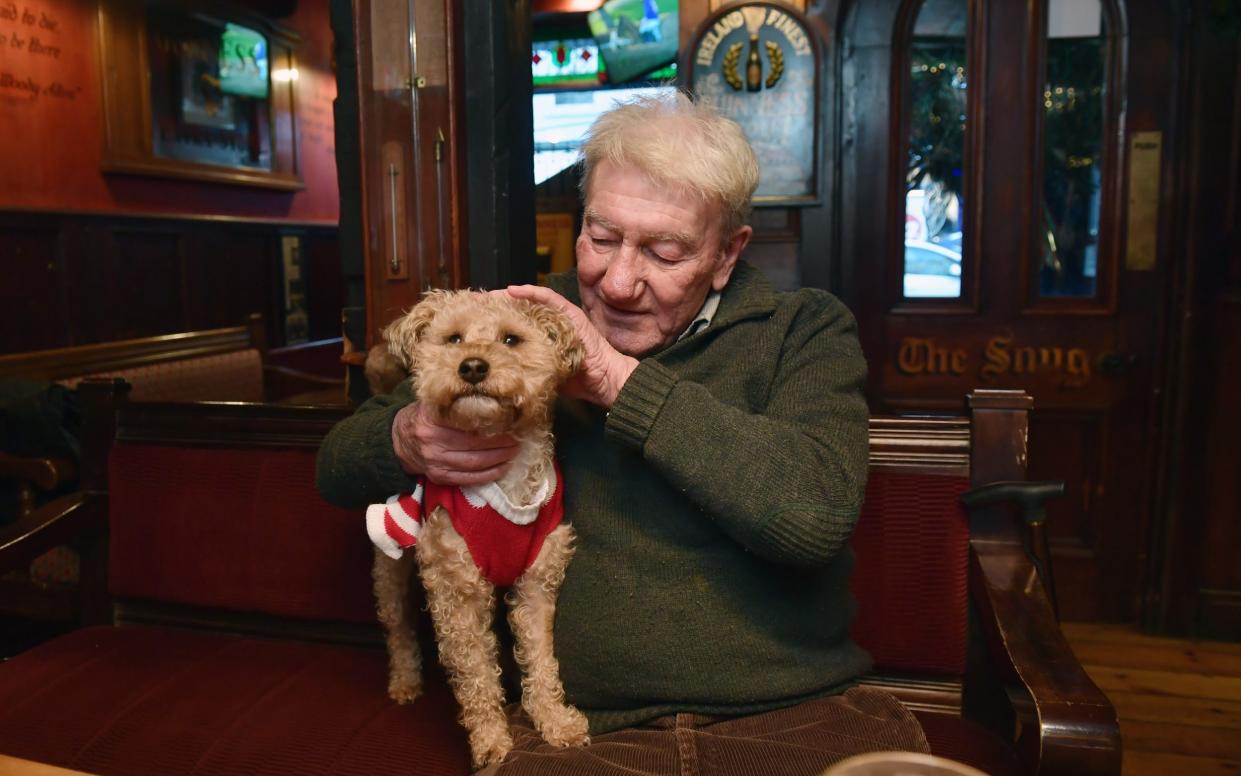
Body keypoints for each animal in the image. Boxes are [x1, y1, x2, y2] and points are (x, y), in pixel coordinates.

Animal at [362, 290, 590, 769]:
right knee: (399, 628)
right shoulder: (457, 592)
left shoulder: (537, 584)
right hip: (390, 573)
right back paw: (405, 680)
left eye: (511, 339)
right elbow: (477, 674)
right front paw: (489, 741)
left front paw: (555, 721)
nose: (472, 366)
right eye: (453, 338)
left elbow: (541, 658)